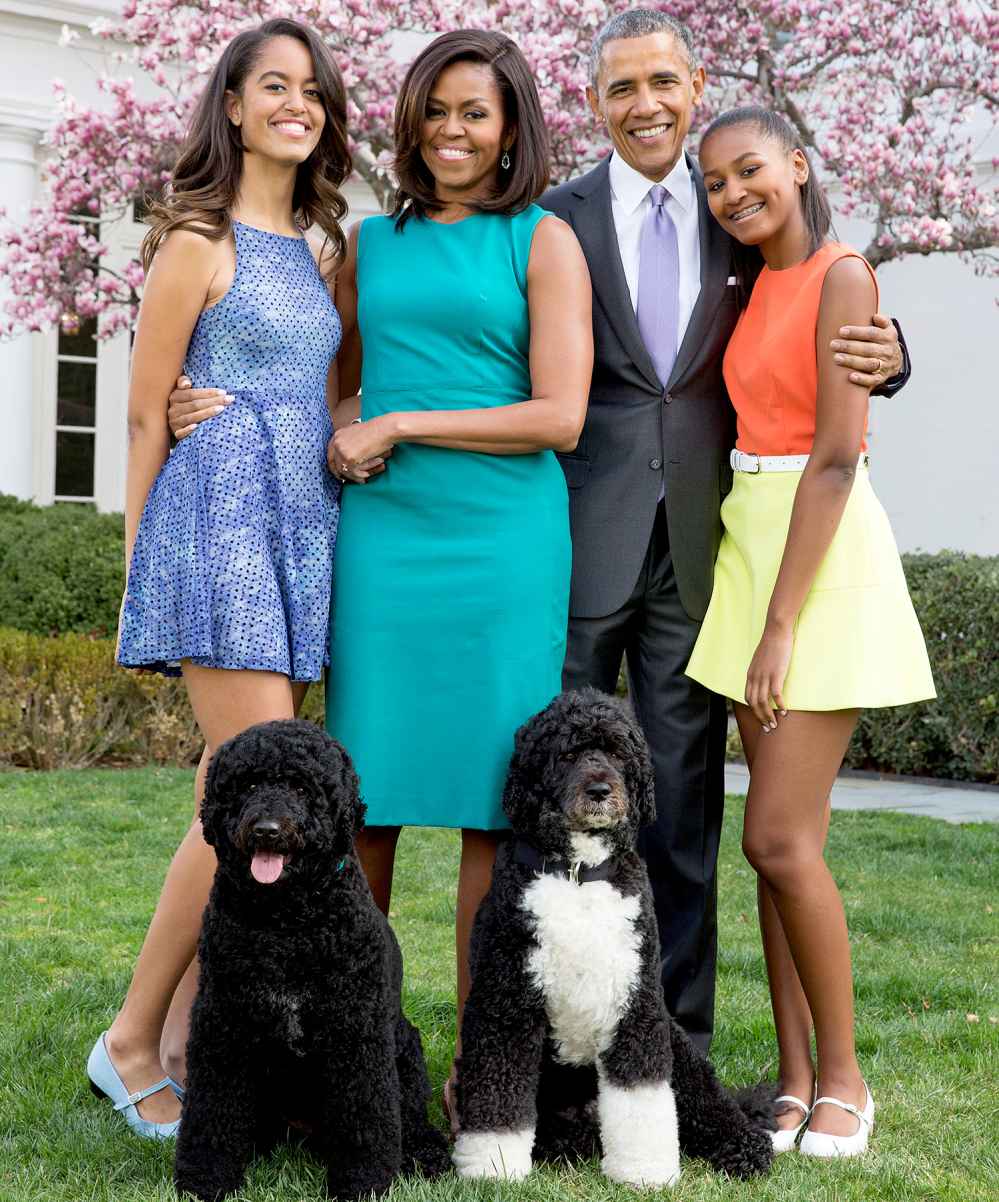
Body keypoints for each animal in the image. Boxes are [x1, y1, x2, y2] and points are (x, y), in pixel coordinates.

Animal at [175, 716, 449, 1197]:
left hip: (405, 1050)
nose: (266, 829)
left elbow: (365, 1117)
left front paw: (362, 1181)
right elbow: (211, 1109)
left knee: (410, 1118)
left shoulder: (356, 1030)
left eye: (302, 788)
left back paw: (425, 1153)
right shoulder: (223, 1023)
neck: (287, 924)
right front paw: (205, 1176)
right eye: (248, 784)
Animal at [452, 692, 774, 1187]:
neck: (579, 874)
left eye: (619, 753)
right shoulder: (506, 1003)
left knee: (710, 1104)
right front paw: (493, 1165)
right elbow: (498, 1094)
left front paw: (645, 1170)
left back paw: (745, 1146)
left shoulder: (636, 1005)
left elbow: (641, 1096)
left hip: (678, 1047)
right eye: (567, 754)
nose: (601, 790)